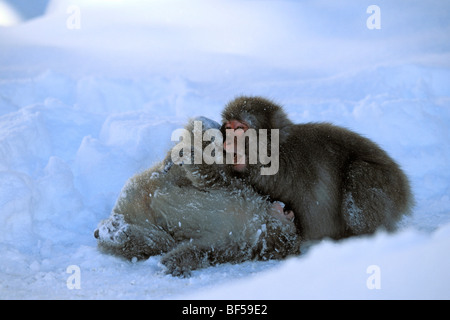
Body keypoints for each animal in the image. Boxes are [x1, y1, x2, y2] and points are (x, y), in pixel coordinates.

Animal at [94, 117, 298, 278]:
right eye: (287, 215)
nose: (288, 210)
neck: (256, 222)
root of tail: (121, 210)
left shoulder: (233, 245)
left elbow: (201, 250)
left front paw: (173, 264)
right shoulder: (239, 190)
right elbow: (211, 178)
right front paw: (189, 156)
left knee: (158, 241)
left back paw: (116, 233)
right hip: (145, 184)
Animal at [220, 96, 414, 241]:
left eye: (239, 129)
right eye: (228, 128)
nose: (226, 141)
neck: (276, 153)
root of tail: (405, 189)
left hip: (388, 185)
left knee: (358, 173)